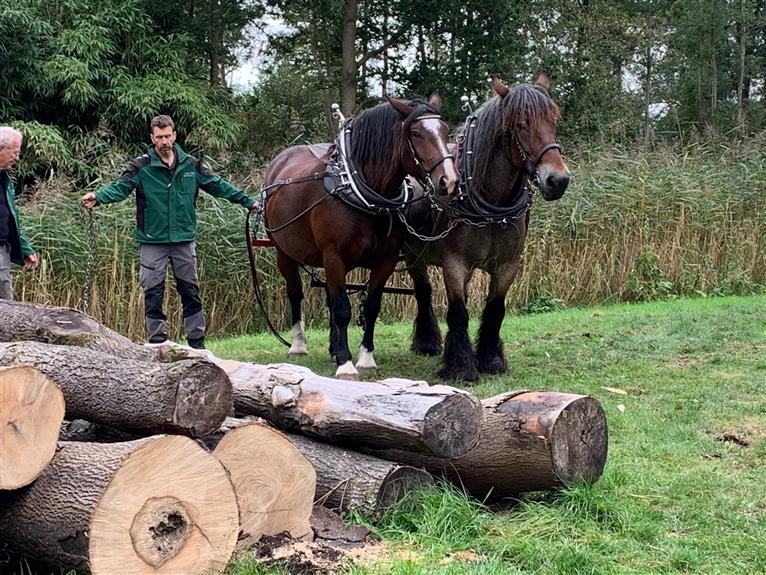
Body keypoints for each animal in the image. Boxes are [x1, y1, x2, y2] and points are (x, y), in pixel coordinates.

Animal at [264, 94, 460, 380]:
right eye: (415, 133)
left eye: (444, 130)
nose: (449, 181)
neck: (364, 193)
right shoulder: (334, 257)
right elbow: (343, 309)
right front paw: (345, 363)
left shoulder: (385, 260)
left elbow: (370, 307)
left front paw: (365, 358)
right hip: (284, 252)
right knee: (296, 293)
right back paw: (299, 344)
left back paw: (333, 348)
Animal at [404, 73, 572, 382]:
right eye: (521, 125)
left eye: (553, 121)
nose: (558, 180)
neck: (492, 202)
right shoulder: (454, 264)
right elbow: (458, 312)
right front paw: (460, 366)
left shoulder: (508, 264)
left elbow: (495, 310)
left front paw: (491, 360)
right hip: (413, 255)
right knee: (423, 291)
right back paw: (427, 342)